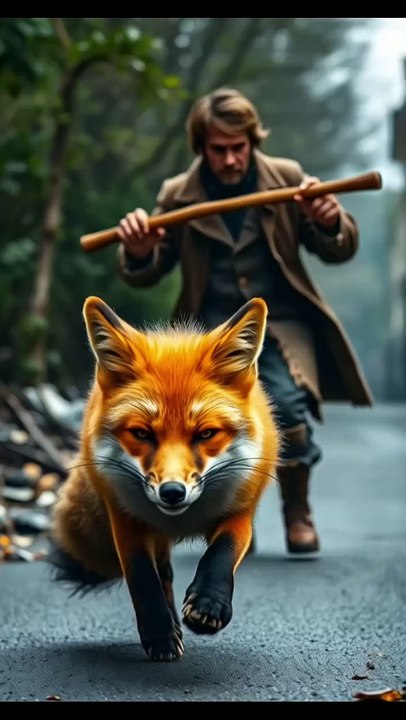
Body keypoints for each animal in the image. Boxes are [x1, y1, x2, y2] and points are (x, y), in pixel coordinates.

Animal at [49, 295, 280, 661]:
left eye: (206, 434)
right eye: (142, 434)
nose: (173, 492)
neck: (183, 520)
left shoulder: (240, 511)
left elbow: (222, 554)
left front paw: (209, 604)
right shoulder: (126, 520)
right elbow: (144, 580)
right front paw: (159, 635)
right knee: (164, 575)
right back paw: (170, 623)